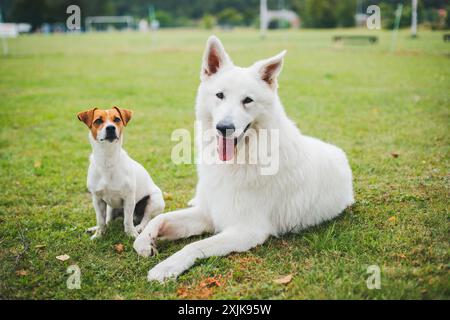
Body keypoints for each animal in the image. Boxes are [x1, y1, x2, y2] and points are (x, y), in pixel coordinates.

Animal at [78, 107, 165, 240]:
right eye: (98, 121)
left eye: (117, 119)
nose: (110, 128)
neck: (107, 161)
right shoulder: (97, 199)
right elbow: (100, 220)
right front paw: (99, 235)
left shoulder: (128, 199)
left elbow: (127, 221)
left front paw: (131, 234)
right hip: (110, 207)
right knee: (108, 220)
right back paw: (95, 228)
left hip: (154, 201)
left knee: (146, 218)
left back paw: (139, 228)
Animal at [134, 35, 356, 282]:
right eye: (220, 95)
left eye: (247, 100)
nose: (224, 128)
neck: (242, 158)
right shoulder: (207, 214)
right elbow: (159, 219)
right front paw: (144, 240)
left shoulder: (245, 230)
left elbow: (193, 246)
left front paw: (166, 266)